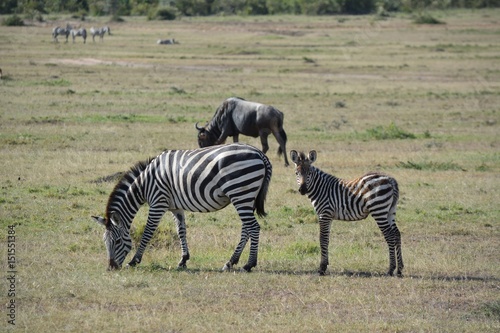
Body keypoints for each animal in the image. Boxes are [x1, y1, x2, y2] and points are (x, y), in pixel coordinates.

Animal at [94, 144, 274, 272]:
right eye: (104, 242)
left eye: (117, 241)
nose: (111, 268)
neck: (145, 184)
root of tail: (260, 153)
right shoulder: (175, 207)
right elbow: (181, 231)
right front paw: (183, 260)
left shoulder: (158, 202)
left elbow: (147, 232)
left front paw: (134, 261)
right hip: (246, 196)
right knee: (246, 228)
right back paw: (230, 262)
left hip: (240, 192)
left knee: (253, 227)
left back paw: (249, 264)